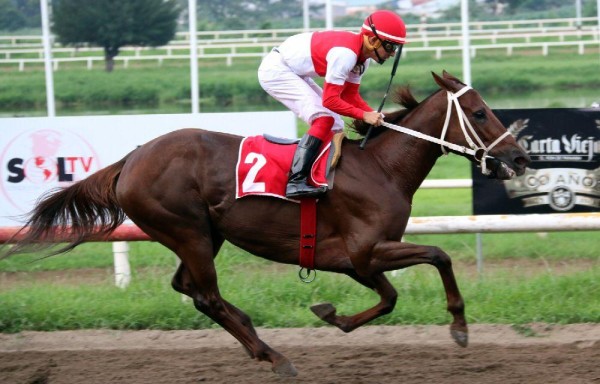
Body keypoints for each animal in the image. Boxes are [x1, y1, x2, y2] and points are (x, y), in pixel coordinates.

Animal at [3, 71, 528, 376]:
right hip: (188, 229)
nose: (519, 157)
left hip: (203, 234)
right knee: (207, 295)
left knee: (190, 289)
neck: (381, 168)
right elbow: (439, 255)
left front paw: (332, 315)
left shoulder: (355, 260)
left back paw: (258, 345)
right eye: (479, 112)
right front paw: (459, 327)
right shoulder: (365, 249)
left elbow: (389, 297)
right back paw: (273, 355)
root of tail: (130, 159)